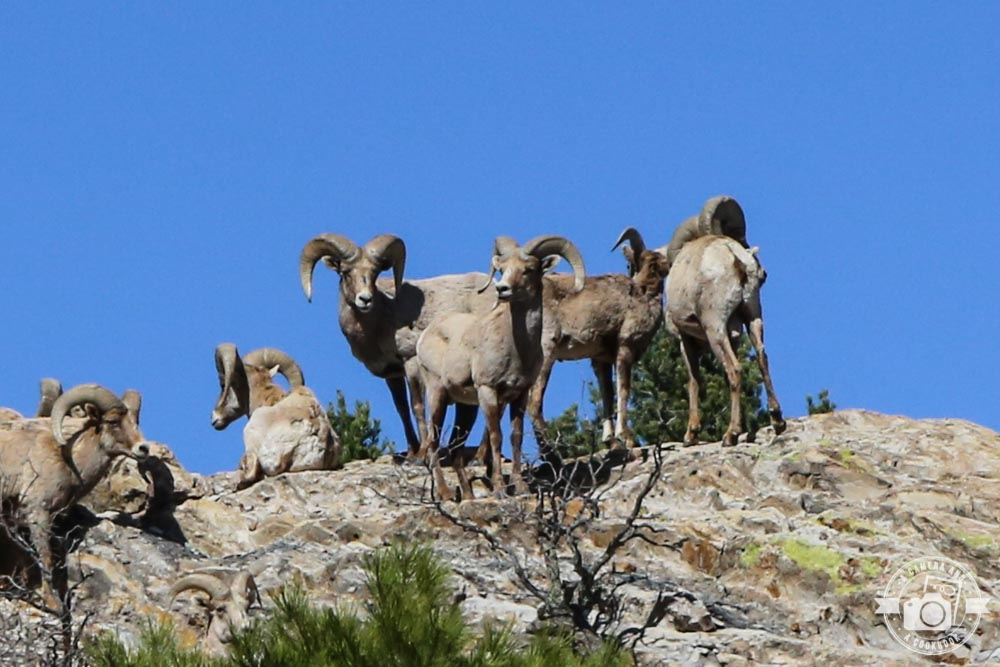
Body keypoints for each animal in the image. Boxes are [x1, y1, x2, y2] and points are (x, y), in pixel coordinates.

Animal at [0, 384, 149, 610]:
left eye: (135, 422)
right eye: (113, 421)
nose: (143, 448)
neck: (69, 463)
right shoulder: (39, 514)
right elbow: (45, 558)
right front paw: (53, 604)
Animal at [299, 233, 495, 459]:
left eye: (375, 273)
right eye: (346, 272)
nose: (365, 299)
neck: (380, 320)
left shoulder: (411, 362)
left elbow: (417, 406)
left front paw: (421, 454)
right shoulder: (392, 373)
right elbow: (401, 409)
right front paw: (411, 452)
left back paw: (478, 458)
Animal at [416, 235, 586, 500]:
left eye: (528, 270)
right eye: (502, 269)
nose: (502, 289)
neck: (517, 350)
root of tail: (426, 335)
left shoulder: (520, 395)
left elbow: (516, 437)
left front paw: (521, 487)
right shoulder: (488, 392)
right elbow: (496, 437)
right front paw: (499, 489)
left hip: (466, 408)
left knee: (455, 448)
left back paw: (467, 497)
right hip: (438, 396)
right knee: (434, 442)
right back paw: (445, 493)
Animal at [526, 227, 671, 454]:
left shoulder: (601, 360)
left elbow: (607, 397)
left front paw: (611, 442)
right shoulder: (624, 349)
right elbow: (623, 391)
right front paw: (628, 439)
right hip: (546, 353)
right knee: (534, 403)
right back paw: (555, 453)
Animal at [665, 234, 786, 446]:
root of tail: (735, 258)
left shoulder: (685, 340)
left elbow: (693, 381)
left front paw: (691, 434)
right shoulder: (734, 338)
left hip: (715, 328)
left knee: (735, 369)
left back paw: (731, 435)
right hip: (753, 317)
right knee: (761, 358)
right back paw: (777, 421)